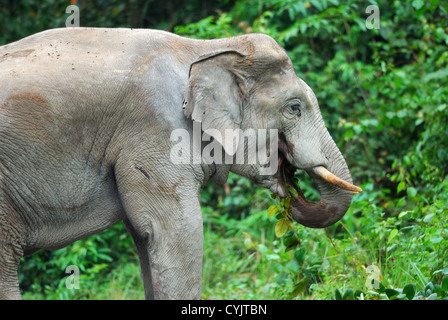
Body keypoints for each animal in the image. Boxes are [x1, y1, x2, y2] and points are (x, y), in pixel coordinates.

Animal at [0, 27, 362, 300]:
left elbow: (144, 237)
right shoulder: (155, 131)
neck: (206, 48)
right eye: (294, 108)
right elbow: (174, 230)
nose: (291, 186)